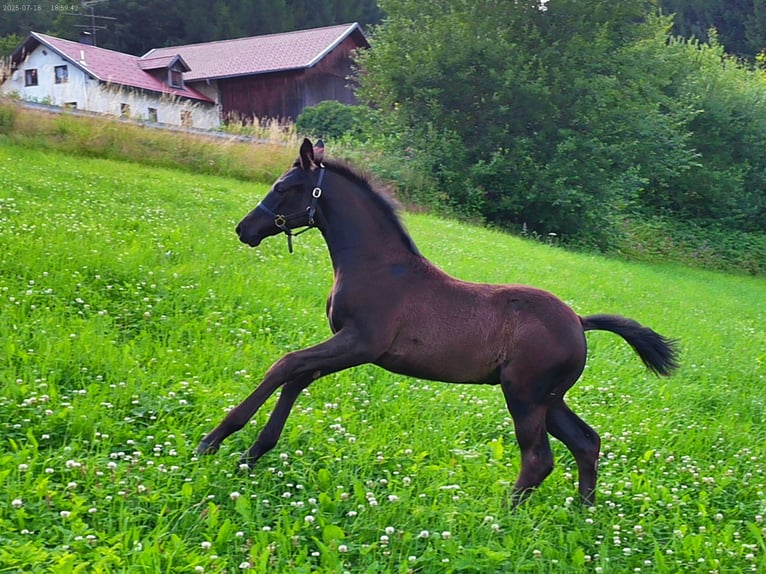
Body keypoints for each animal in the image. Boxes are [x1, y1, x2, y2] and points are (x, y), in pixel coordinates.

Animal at [196, 138, 679, 505]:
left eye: (283, 187)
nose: (245, 229)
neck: (379, 267)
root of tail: (579, 321)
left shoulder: (360, 343)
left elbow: (286, 365)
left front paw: (215, 439)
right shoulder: (348, 347)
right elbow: (296, 376)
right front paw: (253, 453)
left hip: (524, 394)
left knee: (539, 458)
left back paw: (502, 517)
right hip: (549, 397)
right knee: (585, 442)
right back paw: (583, 513)